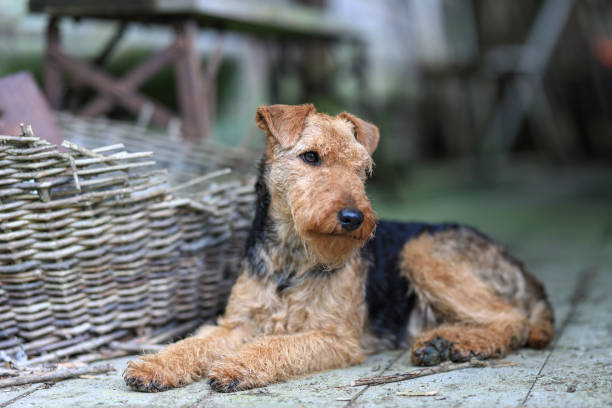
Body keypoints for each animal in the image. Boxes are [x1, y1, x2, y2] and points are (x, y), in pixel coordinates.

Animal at [124, 104, 556, 392]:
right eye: (311, 157)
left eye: (363, 169)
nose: (353, 217)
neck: (291, 257)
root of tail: (518, 265)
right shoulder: (237, 324)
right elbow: (192, 344)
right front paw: (151, 367)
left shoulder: (335, 336)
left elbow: (274, 345)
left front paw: (234, 367)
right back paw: (441, 344)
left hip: (421, 251)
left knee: (511, 319)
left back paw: (457, 345)